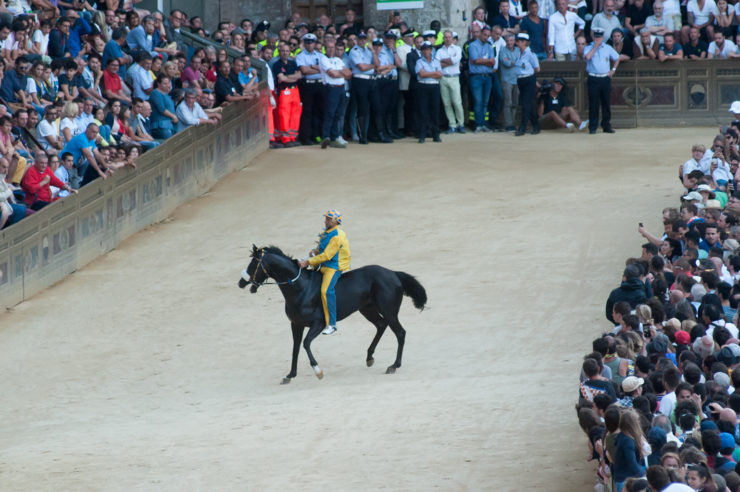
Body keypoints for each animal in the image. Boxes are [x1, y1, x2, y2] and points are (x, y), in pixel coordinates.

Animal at [238, 245, 427, 384]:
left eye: (254, 264)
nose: (240, 282)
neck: (301, 288)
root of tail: (392, 273)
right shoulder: (296, 324)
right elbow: (295, 347)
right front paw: (290, 375)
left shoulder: (318, 324)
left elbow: (306, 344)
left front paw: (318, 371)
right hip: (368, 309)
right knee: (381, 326)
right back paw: (369, 357)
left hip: (389, 311)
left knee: (400, 333)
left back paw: (394, 365)